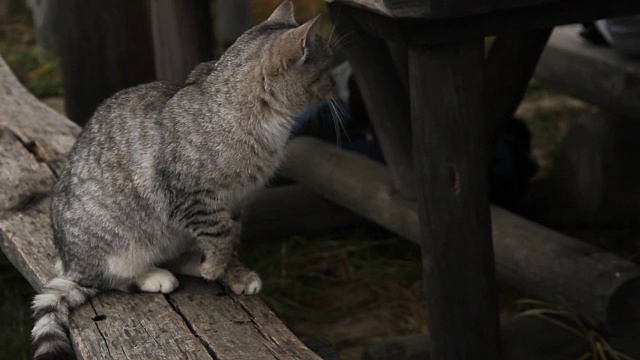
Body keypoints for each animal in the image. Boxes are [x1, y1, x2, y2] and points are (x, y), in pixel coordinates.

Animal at [30, 1, 336, 358]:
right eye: (325, 69)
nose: (333, 85)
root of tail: (71, 262)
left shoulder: (237, 201)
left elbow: (231, 236)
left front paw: (231, 272)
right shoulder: (189, 196)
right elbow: (219, 232)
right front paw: (215, 267)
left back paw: (192, 261)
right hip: (120, 243)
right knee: (110, 278)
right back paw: (154, 275)